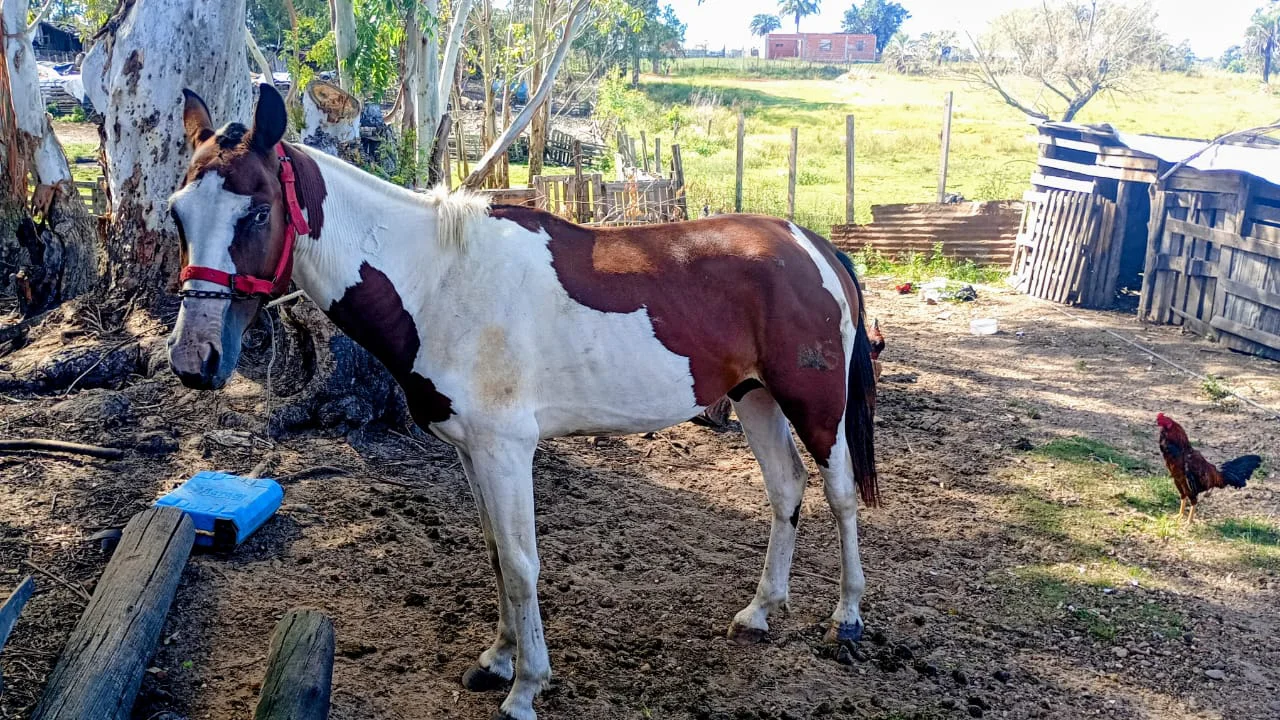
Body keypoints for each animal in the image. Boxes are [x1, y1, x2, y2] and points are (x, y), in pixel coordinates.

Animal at [168, 83, 880, 720]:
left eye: (257, 212)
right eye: (178, 213)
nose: (194, 361)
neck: (440, 281)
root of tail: (811, 244)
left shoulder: (507, 451)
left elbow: (519, 562)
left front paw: (525, 689)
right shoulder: (473, 452)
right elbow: (494, 552)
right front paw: (497, 660)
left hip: (814, 405)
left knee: (840, 494)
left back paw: (845, 619)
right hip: (754, 396)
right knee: (786, 488)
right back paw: (761, 612)